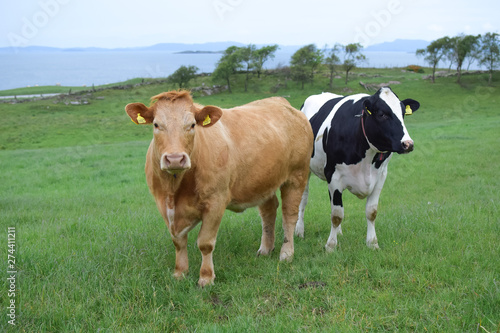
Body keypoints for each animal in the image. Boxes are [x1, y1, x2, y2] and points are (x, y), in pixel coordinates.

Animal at [125, 90, 312, 286]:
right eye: (156, 124)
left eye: (192, 125)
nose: (175, 159)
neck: (174, 190)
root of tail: (284, 104)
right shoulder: (163, 205)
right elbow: (178, 241)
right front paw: (180, 273)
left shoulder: (215, 202)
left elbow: (205, 243)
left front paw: (206, 278)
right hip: (264, 181)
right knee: (269, 211)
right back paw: (266, 249)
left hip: (297, 177)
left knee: (289, 215)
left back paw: (286, 253)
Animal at [294, 87, 420, 250]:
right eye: (382, 114)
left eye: (403, 113)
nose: (408, 144)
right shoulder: (333, 175)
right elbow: (337, 215)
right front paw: (331, 246)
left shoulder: (380, 176)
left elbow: (371, 212)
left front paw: (372, 243)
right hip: (304, 168)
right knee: (303, 200)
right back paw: (299, 231)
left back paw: (339, 232)